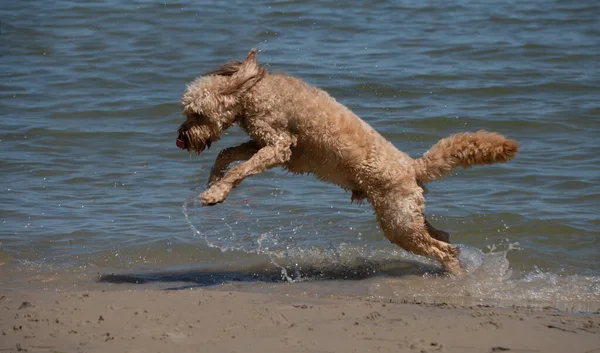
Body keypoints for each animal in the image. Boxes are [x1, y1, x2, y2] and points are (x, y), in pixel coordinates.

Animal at [176, 50, 516, 276]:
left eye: (197, 113)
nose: (181, 137)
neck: (253, 92)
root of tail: (412, 166)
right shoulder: (259, 143)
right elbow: (226, 154)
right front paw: (213, 181)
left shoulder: (277, 146)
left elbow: (241, 168)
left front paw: (216, 192)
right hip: (407, 217)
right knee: (442, 237)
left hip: (398, 223)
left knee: (444, 249)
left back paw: (456, 275)